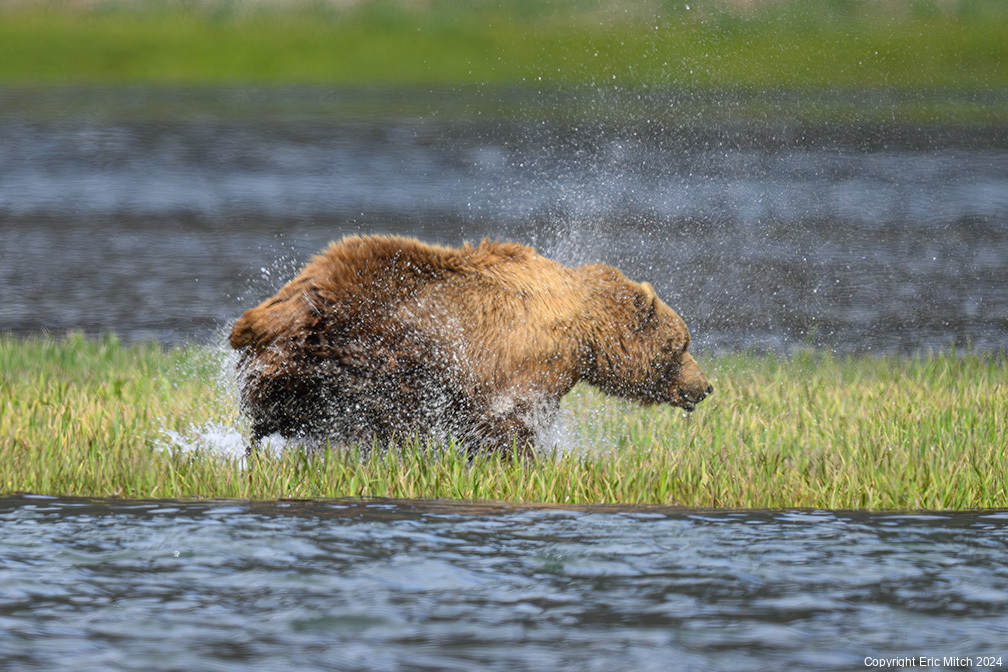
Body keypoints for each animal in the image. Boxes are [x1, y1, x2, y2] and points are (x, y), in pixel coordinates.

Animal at [231, 233, 713, 455]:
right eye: (682, 344)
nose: (705, 386)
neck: (584, 331)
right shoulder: (524, 365)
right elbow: (510, 421)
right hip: (353, 348)